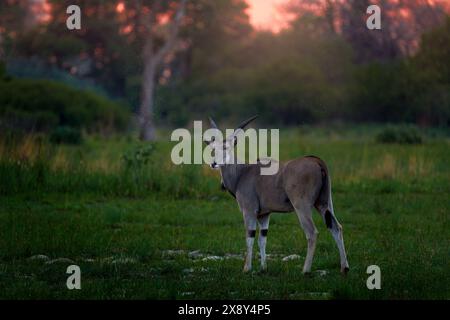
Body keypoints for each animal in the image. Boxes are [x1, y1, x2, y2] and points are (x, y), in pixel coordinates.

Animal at [206, 116, 350, 274]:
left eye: (227, 148)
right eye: (213, 149)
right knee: (336, 227)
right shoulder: (264, 215)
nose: (213, 163)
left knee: (312, 233)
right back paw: (344, 267)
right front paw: (263, 268)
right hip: (324, 204)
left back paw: (305, 270)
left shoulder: (249, 211)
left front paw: (247, 268)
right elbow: (262, 239)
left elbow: (250, 237)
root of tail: (317, 161)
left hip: (302, 206)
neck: (242, 172)